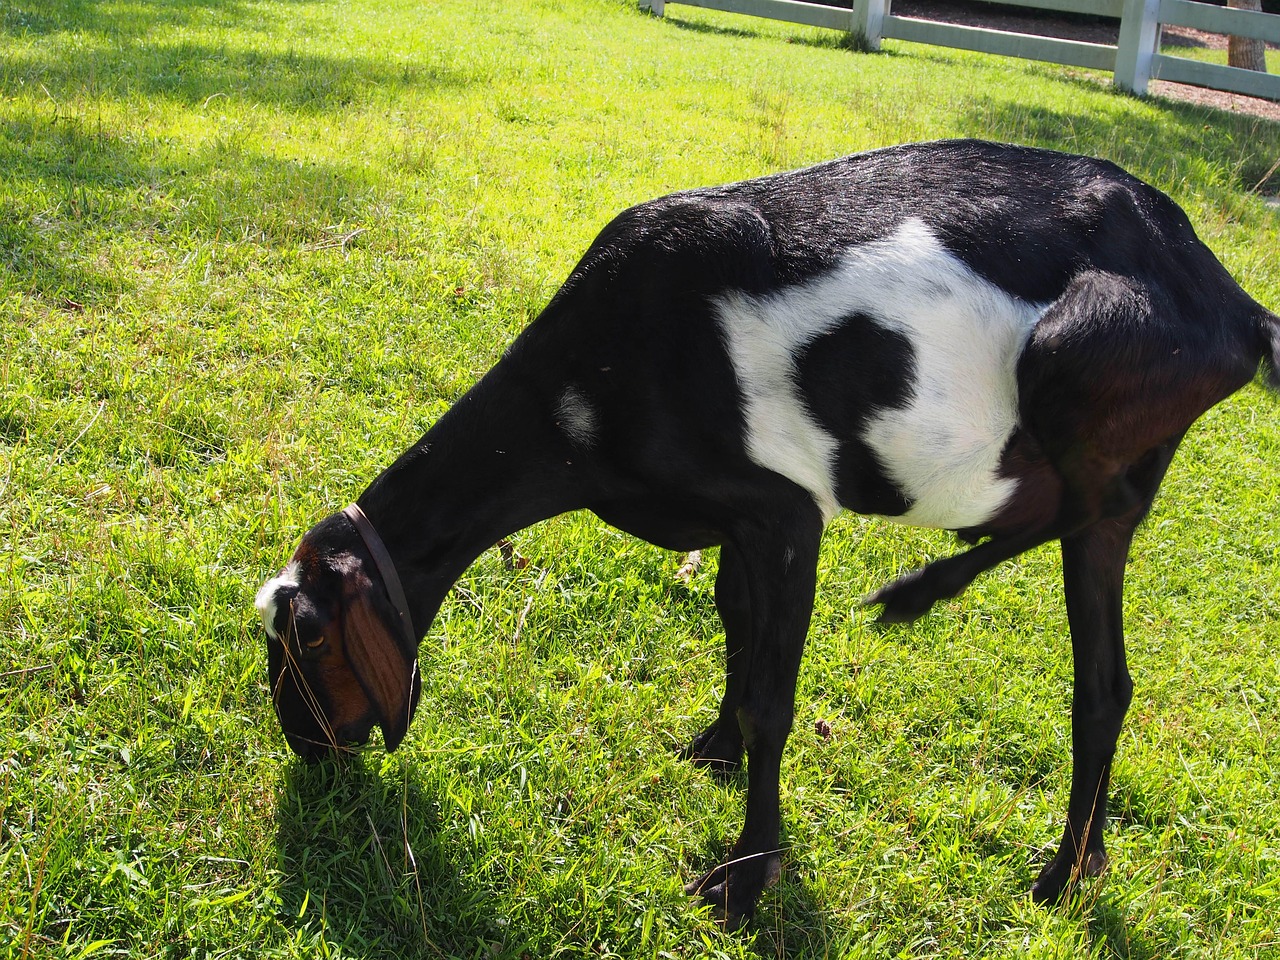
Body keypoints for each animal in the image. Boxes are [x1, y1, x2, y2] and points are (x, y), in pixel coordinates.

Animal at [256, 139, 1280, 926]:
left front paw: (745, 879)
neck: (583, 389)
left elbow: (771, 700)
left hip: (1081, 365)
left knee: (1076, 508)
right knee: (1104, 679)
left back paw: (929, 608)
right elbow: (734, 624)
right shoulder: (734, 525)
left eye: (311, 635)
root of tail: (1235, 307)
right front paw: (713, 749)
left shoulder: (785, 512)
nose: (308, 750)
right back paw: (1077, 862)